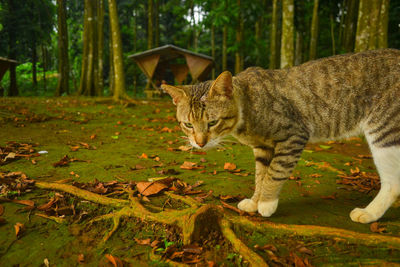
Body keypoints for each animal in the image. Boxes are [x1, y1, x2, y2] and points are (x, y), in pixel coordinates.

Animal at [162, 48, 400, 224]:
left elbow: (274, 173)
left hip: (384, 132)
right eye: (188, 125)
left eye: (212, 122)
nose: (200, 143)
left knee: (393, 183)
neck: (248, 105)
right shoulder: (263, 148)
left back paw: (370, 213)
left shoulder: (293, 135)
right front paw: (255, 200)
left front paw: (266, 203)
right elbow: (261, 175)